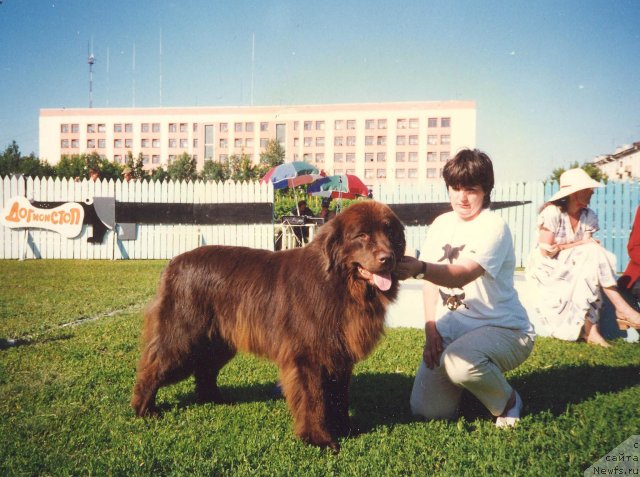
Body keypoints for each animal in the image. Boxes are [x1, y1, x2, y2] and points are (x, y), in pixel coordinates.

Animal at [130, 200, 404, 450]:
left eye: (390, 233)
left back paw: (216, 400)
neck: (340, 284)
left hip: (218, 340)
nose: (387, 258)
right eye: (361, 236)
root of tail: (173, 263)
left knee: (205, 369)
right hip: (183, 335)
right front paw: (320, 439)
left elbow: (339, 395)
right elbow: (314, 398)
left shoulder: (339, 353)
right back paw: (145, 409)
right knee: (154, 366)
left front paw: (345, 429)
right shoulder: (308, 355)